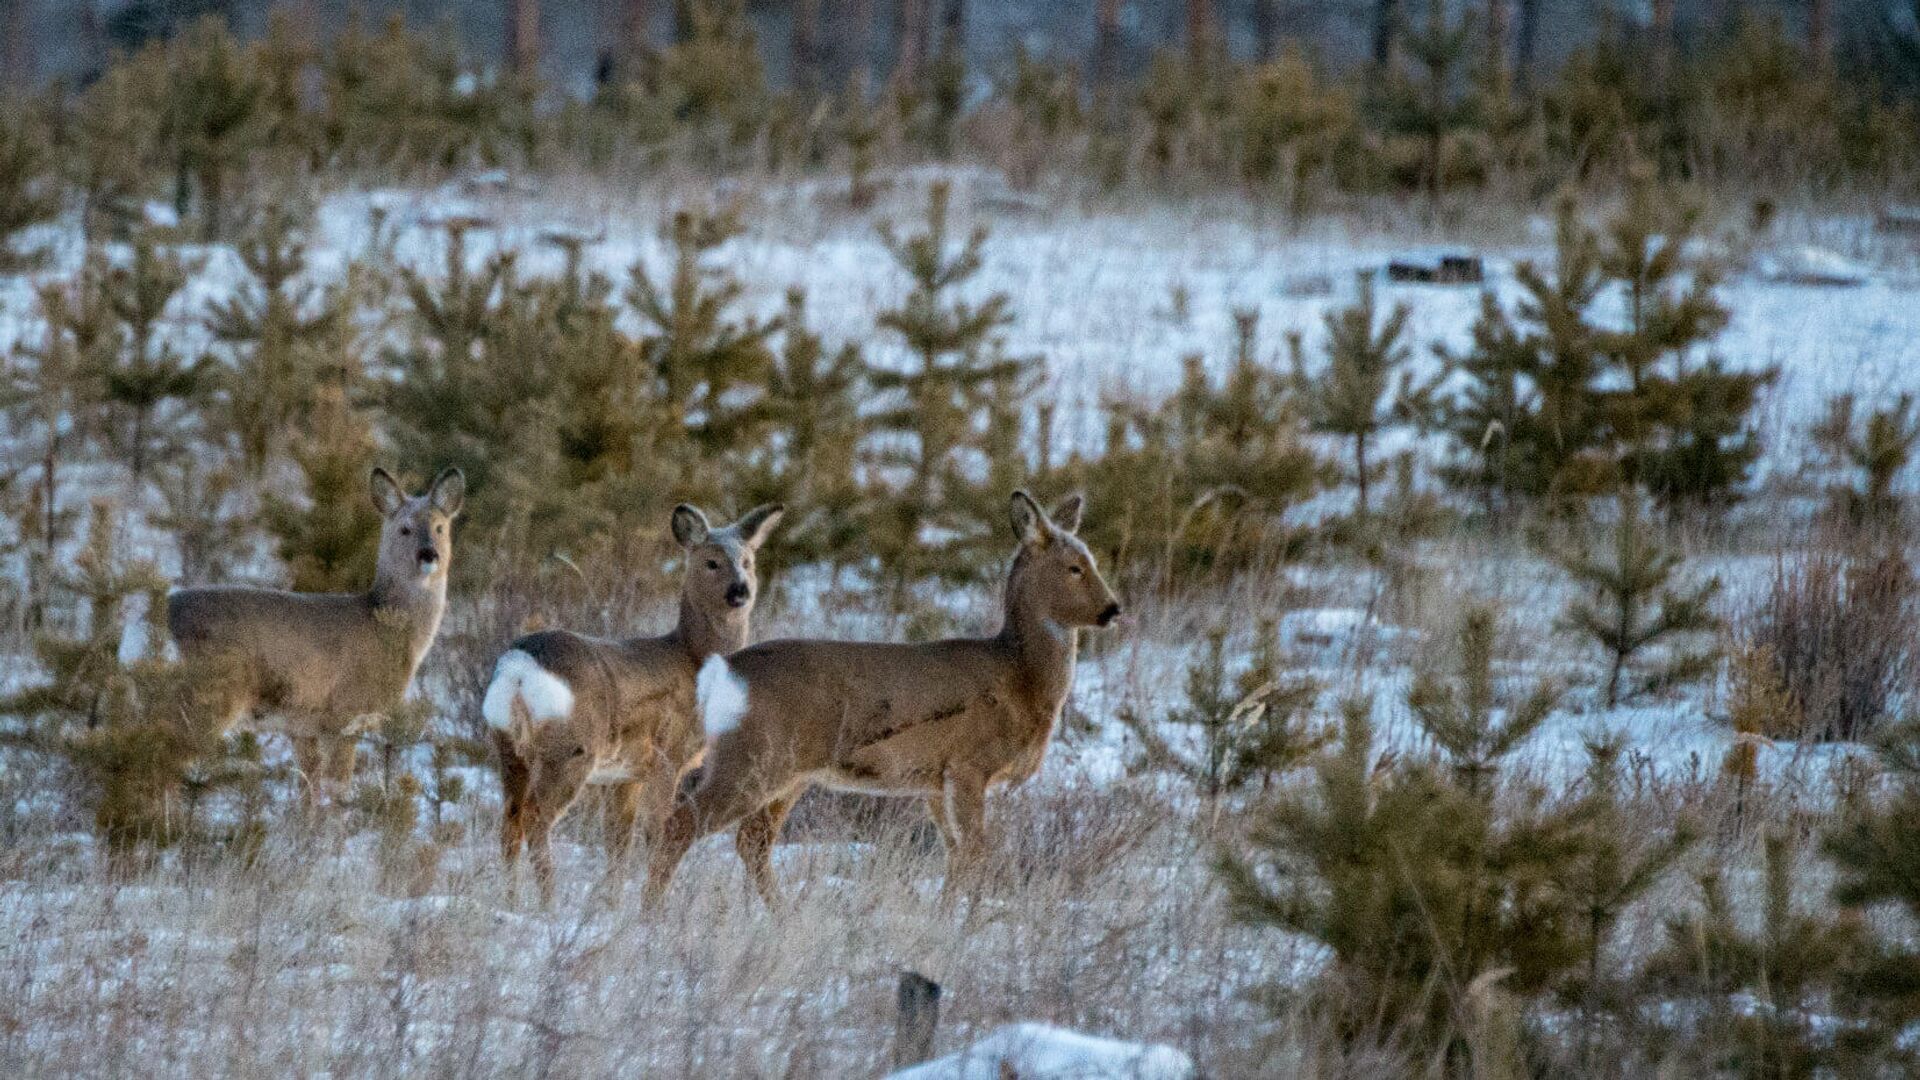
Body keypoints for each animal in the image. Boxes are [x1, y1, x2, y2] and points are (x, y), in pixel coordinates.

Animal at [166, 466, 464, 803]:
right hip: (207, 697)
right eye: (404, 528)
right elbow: (336, 796)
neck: (386, 629)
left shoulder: (303, 726)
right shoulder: (344, 715)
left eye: (440, 527)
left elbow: (308, 793)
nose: (429, 554)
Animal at [483, 503, 783, 899]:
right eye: (712, 561)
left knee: (510, 821)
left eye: (747, 561)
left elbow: (618, 841)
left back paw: (512, 898)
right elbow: (655, 831)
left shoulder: (625, 773)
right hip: (569, 749)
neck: (693, 660)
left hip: (508, 749)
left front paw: (612, 901)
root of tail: (518, 668)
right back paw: (548, 898)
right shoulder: (668, 755)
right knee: (535, 817)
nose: (740, 591)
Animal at [645, 491, 1121, 903]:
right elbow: (976, 854)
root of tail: (723, 672)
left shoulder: (936, 781)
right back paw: (653, 916)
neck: (1021, 678)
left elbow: (955, 855)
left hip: (788, 771)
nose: (1113, 609)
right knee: (681, 824)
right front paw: (966, 923)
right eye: (1075, 567)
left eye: (1092, 560)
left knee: (752, 842)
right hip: (752, 756)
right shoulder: (969, 764)